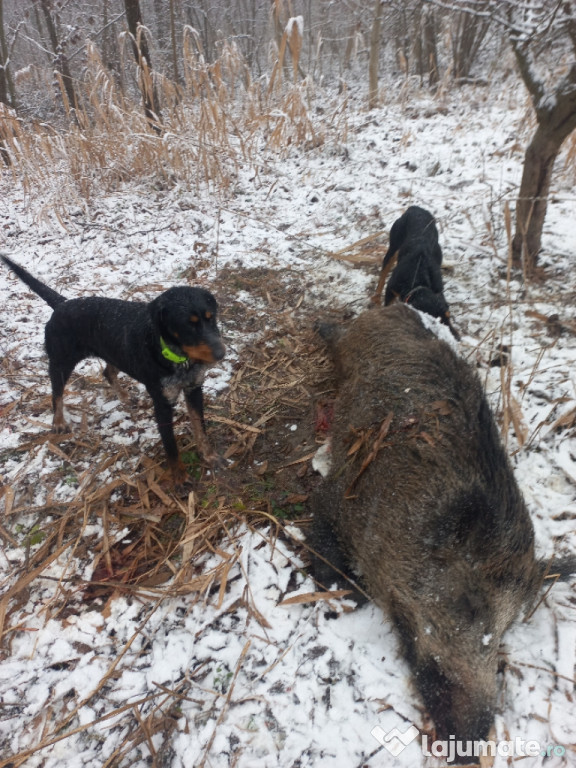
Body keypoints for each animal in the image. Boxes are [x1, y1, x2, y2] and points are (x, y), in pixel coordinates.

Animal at [1, 255, 225, 484]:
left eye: (212, 318)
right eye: (188, 325)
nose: (221, 353)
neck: (176, 356)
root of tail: (62, 304)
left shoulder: (194, 389)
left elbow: (200, 428)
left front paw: (209, 456)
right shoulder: (162, 403)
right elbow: (170, 445)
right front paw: (178, 476)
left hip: (116, 354)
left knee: (107, 373)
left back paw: (124, 397)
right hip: (60, 363)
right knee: (57, 394)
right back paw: (59, 422)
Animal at [372, 204, 462, 340]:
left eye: (449, 315)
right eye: (435, 322)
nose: (458, 338)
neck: (417, 279)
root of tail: (415, 208)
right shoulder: (391, 289)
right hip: (394, 244)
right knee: (384, 269)